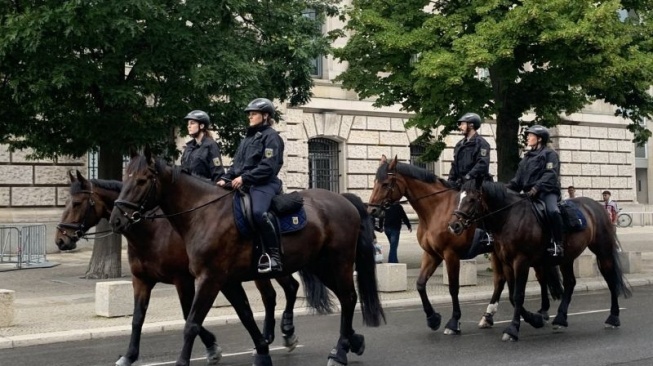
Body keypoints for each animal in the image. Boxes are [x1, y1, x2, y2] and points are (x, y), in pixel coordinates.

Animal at [56, 171, 300, 366]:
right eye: (65, 201)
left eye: (76, 203)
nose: (60, 240)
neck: (154, 231)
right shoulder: (142, 280)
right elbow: (137, 318)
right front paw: (129, 355)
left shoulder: (183, 279)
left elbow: (187, 314)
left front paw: (212, 348)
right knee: (282, 290)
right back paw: (274, 336)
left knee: (280, 291)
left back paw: (284, 334)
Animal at [109, 149, 384, 366]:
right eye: (125, 178)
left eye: (142, 181)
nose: (116, 220)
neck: (203, 214)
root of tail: (344, 199)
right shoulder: (225, 281)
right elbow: (245, 315)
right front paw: (262, 350)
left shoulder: (208, 279)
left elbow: (192, 323)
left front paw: (184, 360)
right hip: (318, 265)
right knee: (338, 297)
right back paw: (350, 342)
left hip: (337, 263)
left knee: (347, 298)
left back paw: (339, 352)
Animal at [366, 156, 560, 334]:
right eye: (374, 182)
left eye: (385, 183)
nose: (372, 210)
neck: (436, 210)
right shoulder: (431, 254)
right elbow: (420, 284)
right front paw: (432, 318)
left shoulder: (450, 255)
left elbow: (453, 288)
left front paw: (453, 322)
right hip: (499, 254)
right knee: (501, 281)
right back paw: (489, 316)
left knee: (540, 277)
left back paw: (542, 312)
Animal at [448, 179, 632, 342]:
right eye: (459, 198)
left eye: (472, 199)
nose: (454, 226)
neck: (509, 218)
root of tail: (597, 205)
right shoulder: (507, 263)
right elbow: (512, 296)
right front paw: (535, 319)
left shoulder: (521, 261)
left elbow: (518, 295)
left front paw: (513, 329)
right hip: (566, 257)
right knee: (570, 282)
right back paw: (560, 318)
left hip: (603, 252)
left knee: (611, 280)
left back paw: (613, 318)